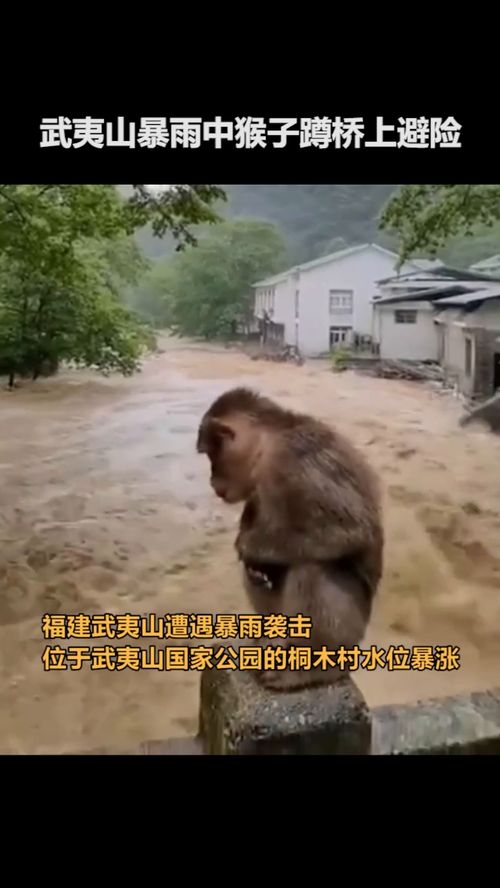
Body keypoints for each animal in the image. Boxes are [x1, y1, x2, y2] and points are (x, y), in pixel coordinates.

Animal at [196, 386, 382, 692]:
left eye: (213, 454)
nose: (213, 482)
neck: (269, 444)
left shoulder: (296, 461)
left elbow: (352, 532)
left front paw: (251, 547)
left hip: (353, 630)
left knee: (312, 569)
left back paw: (313, 668)